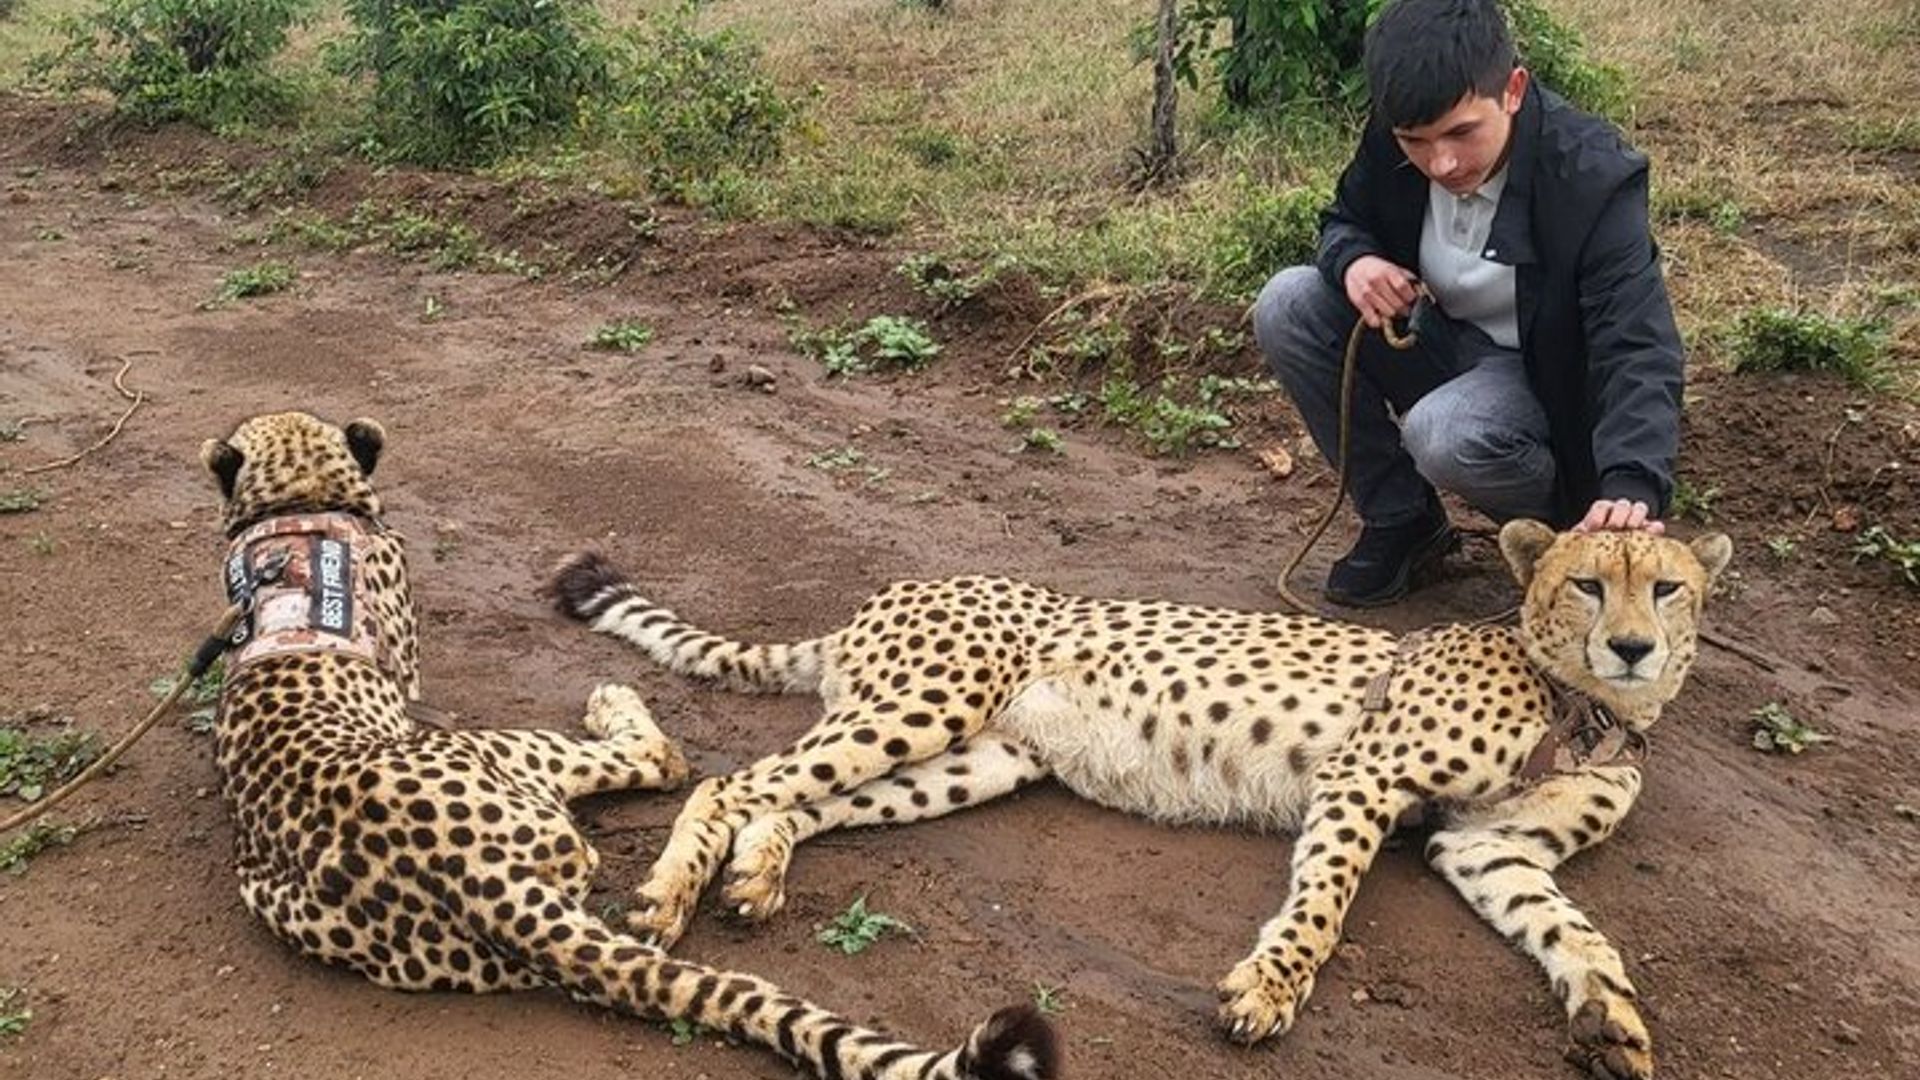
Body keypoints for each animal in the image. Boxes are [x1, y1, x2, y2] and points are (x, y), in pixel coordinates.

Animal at [548, 520, 1733, 1080]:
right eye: (1588, 582)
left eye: (1668, 587)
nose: (1633, 646)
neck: (1584, 707)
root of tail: (878, 600)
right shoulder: (1364, 779)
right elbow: (1324, 906)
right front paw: (1268, 991)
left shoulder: (1491, 853)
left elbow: (1578, 934)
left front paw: (1613, 1023)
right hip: (926, 702)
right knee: (729, 779)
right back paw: (665, 899)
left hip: (974, 758)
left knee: (793, 802)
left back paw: (756, 873)